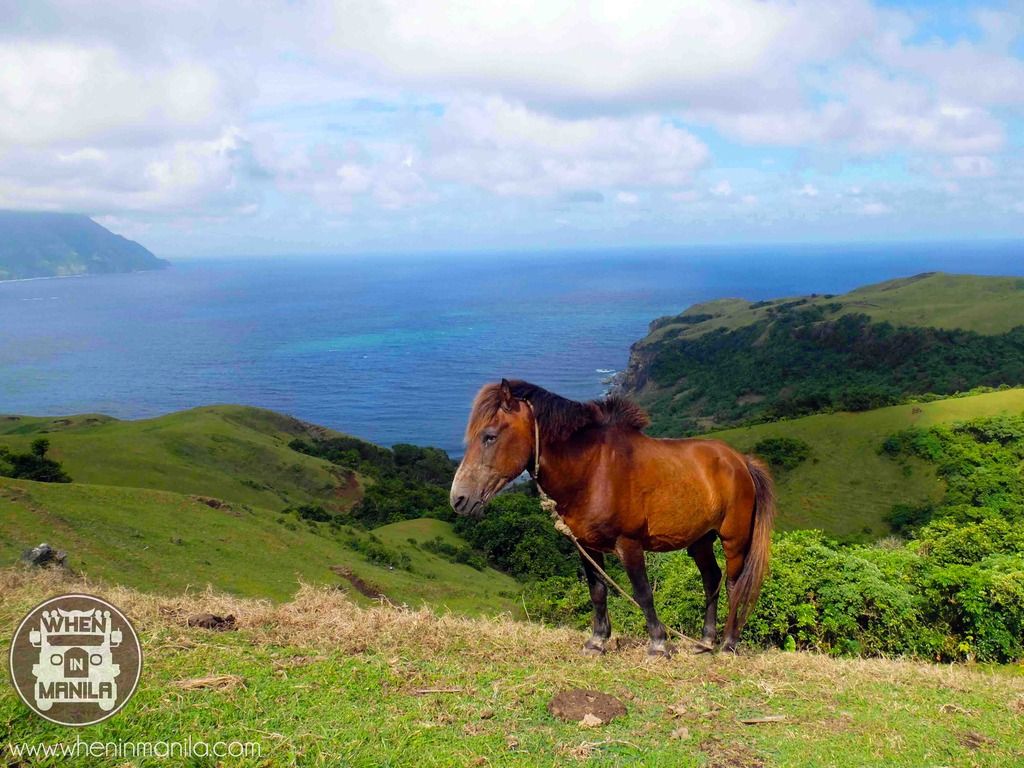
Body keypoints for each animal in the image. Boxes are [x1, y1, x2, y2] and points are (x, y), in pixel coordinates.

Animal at [450, 378, 774, 655]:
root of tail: (741, 461)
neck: (593, 470)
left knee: (734, 584)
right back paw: (706, 641)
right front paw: (597, 641)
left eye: (490, 436)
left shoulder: (629, 544)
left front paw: (658, 644)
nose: (459, 499)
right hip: (701, 540)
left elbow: (643, 592)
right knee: (711, 579)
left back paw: (728, 644)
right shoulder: (585, 545)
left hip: (734, 539)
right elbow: (597, 591)